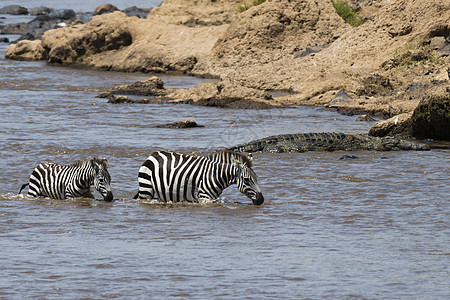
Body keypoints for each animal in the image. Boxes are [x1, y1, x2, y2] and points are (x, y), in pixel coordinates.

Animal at [132, 149, 264, 205]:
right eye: (246, 180)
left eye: (256, 178)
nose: (261, 200)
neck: (215, 175)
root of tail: (153, 154)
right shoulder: (205, 198)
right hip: (146, 189)